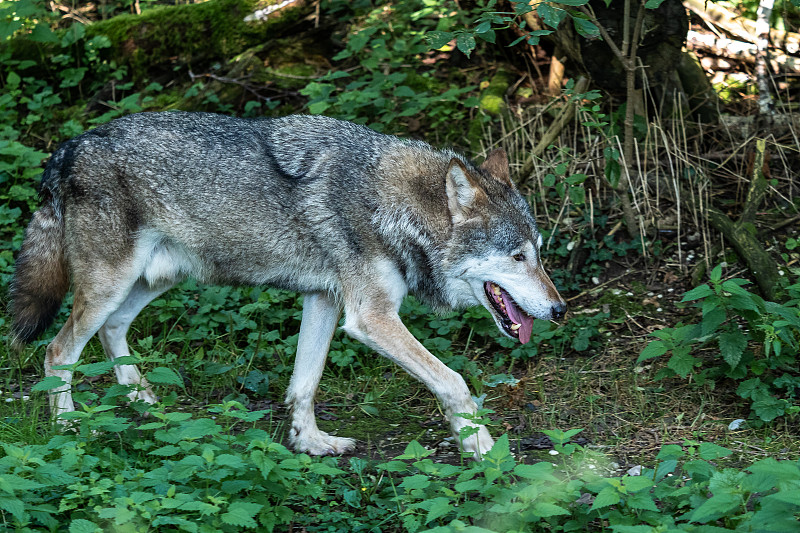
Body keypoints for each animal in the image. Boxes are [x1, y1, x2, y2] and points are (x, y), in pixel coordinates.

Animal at [9, 111, 564, 458]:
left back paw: (144, 402)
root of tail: (68, 147)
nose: (560, 311)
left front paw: (310, 444)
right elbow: (454, 382)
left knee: (112, 331)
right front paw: (482, 447)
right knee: (58, 351)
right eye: (517, 257)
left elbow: (304, 384)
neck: (394, 208)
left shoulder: (324, 300)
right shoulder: (370, 319)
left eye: (540, 253)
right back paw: (68, 428)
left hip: (152, 282)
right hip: (111, 285)